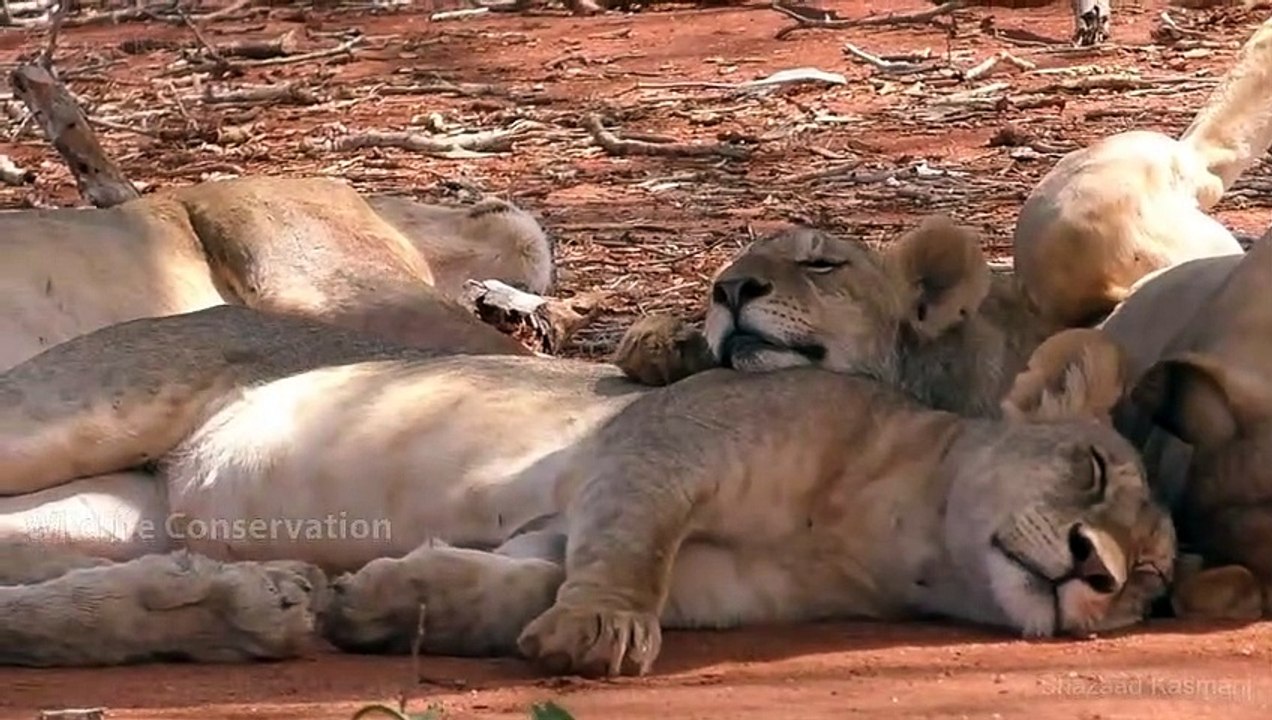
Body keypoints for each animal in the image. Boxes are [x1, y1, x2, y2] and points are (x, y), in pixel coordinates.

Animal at [0, 297, 1175, 670]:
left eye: (1153, 590)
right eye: (1092, 468)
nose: (1095, 573)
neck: (890, 538)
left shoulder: (629, 564)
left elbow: (516, 583)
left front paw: (392, 601)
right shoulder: (668, 438)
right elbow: (631, 542)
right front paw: (596, 635)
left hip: (105, 521)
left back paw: (237, 603)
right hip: (75, 415)